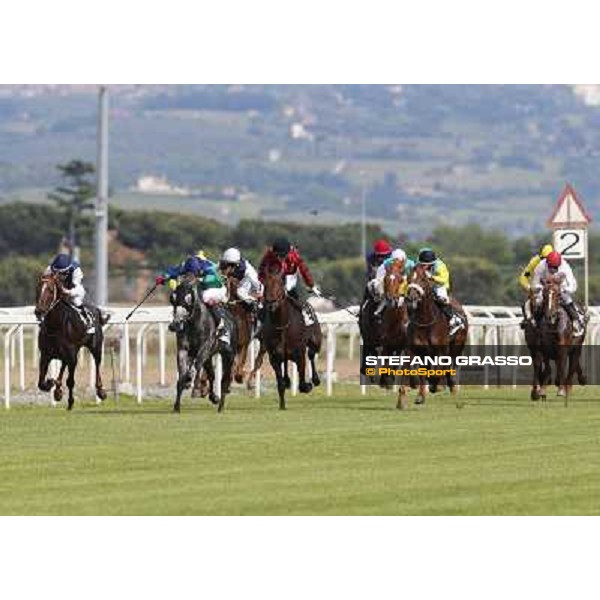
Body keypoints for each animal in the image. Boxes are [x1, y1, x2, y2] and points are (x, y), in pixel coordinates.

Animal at [35, 274, 108, 410]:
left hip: (96, 347)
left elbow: (70, 381)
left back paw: (101, 391)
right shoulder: (45, 355)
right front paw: (51, 383)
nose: (38, 311)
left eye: (50, 290)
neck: (55, 327)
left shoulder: (72, 356)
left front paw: (70, 402)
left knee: (97, 364)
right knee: (63, 365)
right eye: (37, 288)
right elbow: (41, 382)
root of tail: (96, 309)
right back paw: (57, 389)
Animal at [398, 264, 468, 410]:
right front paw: (402, 400)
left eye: (423, 279)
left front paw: (437, 386)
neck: (426, 322)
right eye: (408, 278)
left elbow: (436, 372)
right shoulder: (412, 350)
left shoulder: (441, 351)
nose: (411, 297)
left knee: (450, 369)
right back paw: (422, 394)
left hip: (457, 348)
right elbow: (414, 372)